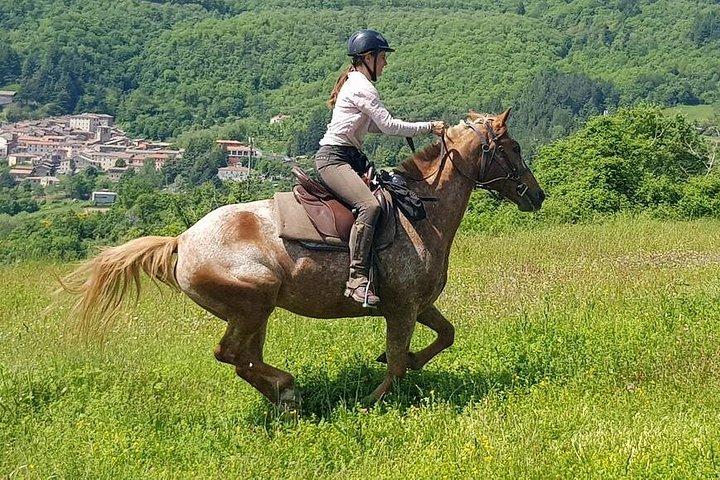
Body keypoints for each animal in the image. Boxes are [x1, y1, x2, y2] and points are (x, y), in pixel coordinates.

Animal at [63, 108, 545, 408]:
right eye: (514, 148)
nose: (536, 196)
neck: (420, 213)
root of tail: (183, 240)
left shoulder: (418, 305)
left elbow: (444, 336)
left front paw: (404, 365)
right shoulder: (402, 309)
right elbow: (395, 362)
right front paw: (372, 400)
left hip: (254, 313)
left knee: (244, 359)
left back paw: (285, 397)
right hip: (253, 303)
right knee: (230, 354)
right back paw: (288, 389)